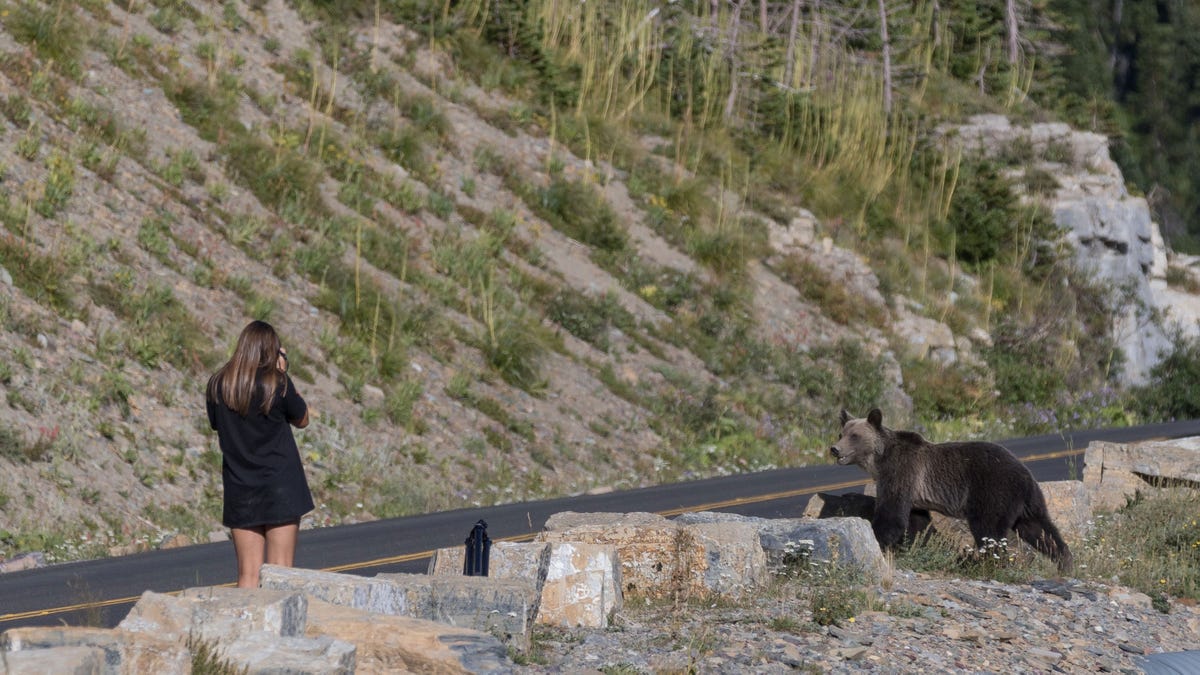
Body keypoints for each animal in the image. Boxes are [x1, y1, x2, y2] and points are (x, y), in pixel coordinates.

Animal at [830, 408, 1075, 569]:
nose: (834, 449)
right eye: (841, 433)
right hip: (1029, 502)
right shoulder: (915, 494)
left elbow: (892, 514)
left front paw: (879, 540)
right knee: (1040, 529)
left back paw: (985, 562)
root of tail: (1025, 473)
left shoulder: (901, 472)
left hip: (993, 491)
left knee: (988, 529)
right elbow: (918, 521)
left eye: (855, 435)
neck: (878, 460)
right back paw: (1064, 561)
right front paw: (918, 544)